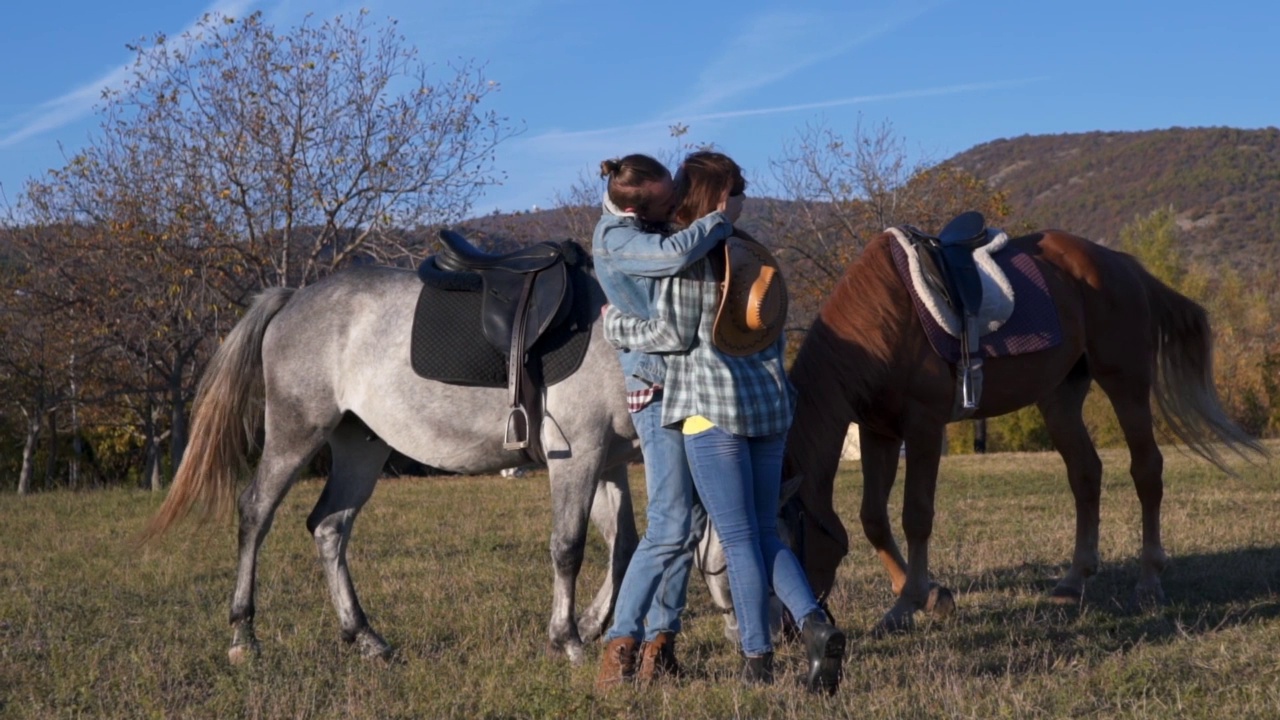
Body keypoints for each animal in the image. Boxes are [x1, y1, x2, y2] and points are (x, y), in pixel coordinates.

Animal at [147, 262, 640, 661]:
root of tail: (294, 298)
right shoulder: (578, 453)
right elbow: (569, 547)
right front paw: (568, 639)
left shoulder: (608, 463)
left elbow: (625, 546)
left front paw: (595, 624)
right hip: (295, 433)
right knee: (255, 512)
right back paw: (244, 636)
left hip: (360, 447)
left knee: (329, 526)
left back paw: (364, 636)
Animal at [783, 226, 1264, 630]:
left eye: (786, 541)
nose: (787, 629)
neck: (884, 319)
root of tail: (1126, 266)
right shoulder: (878, 431)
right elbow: (873, 519)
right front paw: (928, 598)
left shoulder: (923, 426)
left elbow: (915, 515)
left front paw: (910, 604)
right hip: (1060, 397)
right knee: (1086, 473)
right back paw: (1073, 580)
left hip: (1125, 383)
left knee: (1146, 470)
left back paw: (1148, 582)